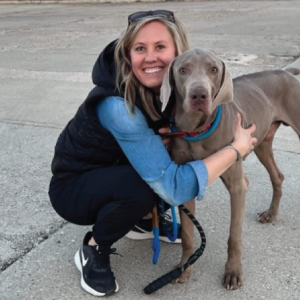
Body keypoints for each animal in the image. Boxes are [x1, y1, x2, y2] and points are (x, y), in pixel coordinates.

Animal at [161, 48, 300, 290]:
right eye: (183, 70)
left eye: (214, 69)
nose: (199, 95)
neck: (198, 129)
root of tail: (287, 73)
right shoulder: (186, 182)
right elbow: (187, 234)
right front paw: (184, 267)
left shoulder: (238, 186)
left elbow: (234, 236)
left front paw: (233, 272)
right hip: (262, 142)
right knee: (278, 176)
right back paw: (271, 214)